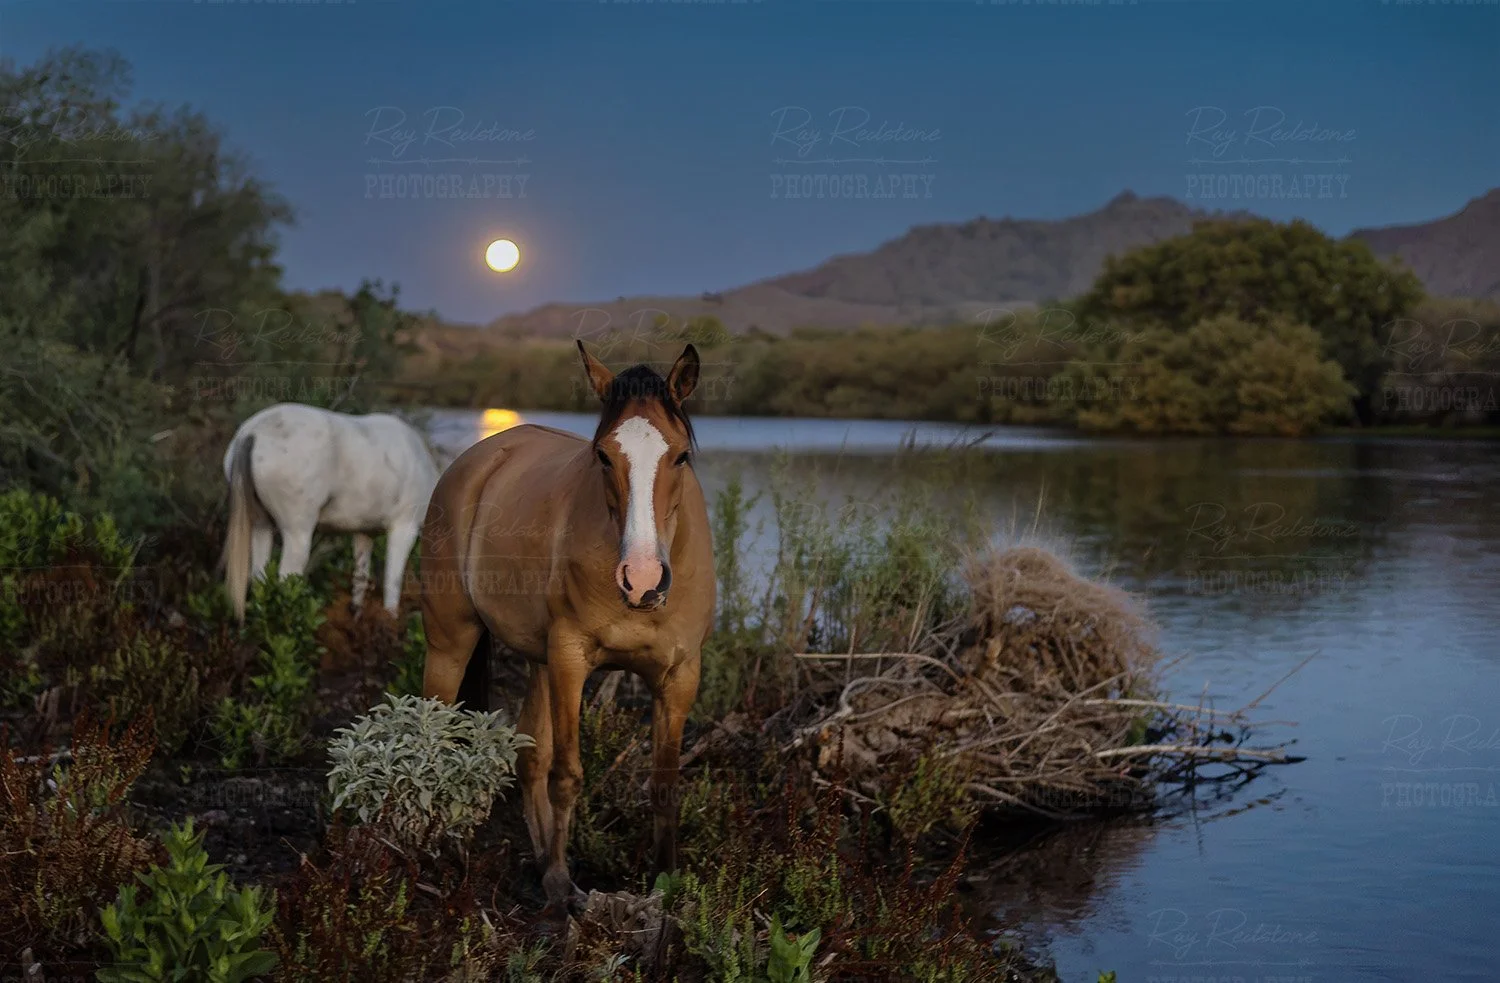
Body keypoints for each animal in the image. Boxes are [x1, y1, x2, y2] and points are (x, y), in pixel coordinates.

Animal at [222, 403, 439, 622]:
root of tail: (251, 433)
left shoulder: (364, 533)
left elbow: (360, 578)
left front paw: (357, 620)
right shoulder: (404, 526)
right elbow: (392, 582)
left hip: (261, 525)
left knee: (260, 580)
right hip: (297, 531)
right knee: (285, 581)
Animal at [420, 342, 714, 910]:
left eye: (680, 456)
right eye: (603, 455)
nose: (642, 578)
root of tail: (478, 460)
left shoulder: (679, 676)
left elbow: (664, 786)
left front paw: (664, 887)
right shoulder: (571, 659)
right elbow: (567, 775)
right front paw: (559, 883)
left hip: (537, 661)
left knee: (528, 755)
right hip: (452, 642)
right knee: (433, 735)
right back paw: (431, 848)